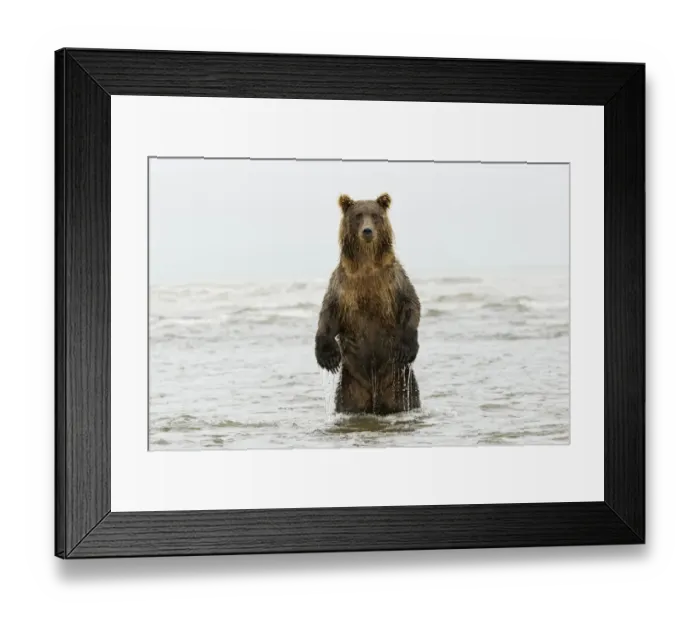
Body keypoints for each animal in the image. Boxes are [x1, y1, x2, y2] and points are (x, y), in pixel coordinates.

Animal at [315, 192, 421, 415]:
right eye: (358, 216)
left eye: (375, 215)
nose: (367, 231)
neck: (367, 264)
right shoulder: (342, 286)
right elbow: (328, 314)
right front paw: (327, 357)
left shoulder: (394, 281)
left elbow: (411, 304)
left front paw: (406, 347)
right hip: (349, 389)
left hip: (401, 385)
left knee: (409, 399)